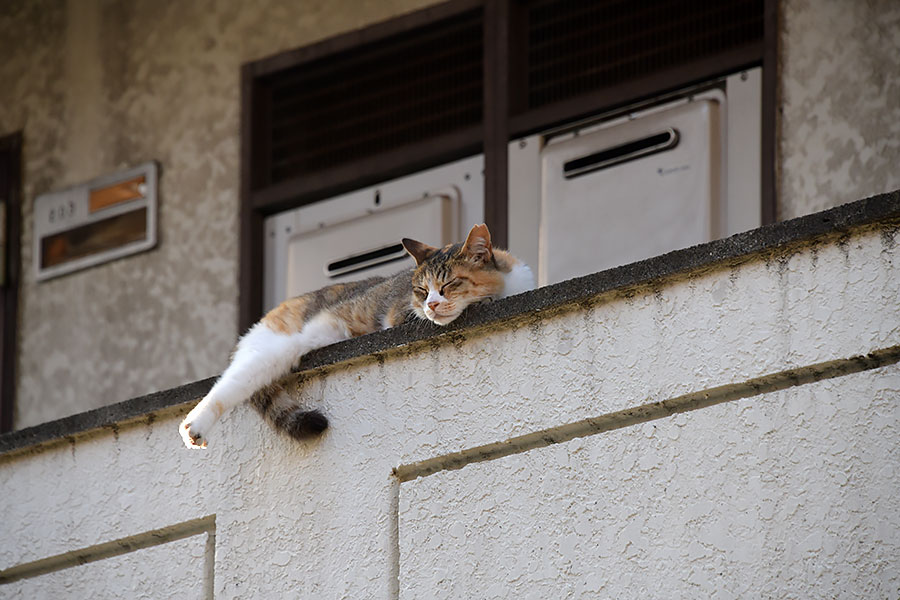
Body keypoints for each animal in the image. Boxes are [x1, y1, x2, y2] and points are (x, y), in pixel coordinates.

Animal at [182, 223, 536, 448]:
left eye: (448, 284)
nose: (432, 305)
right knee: (231, 383)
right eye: (421, 292)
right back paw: (195, 425)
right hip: (282, 345)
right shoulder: (402, 314)